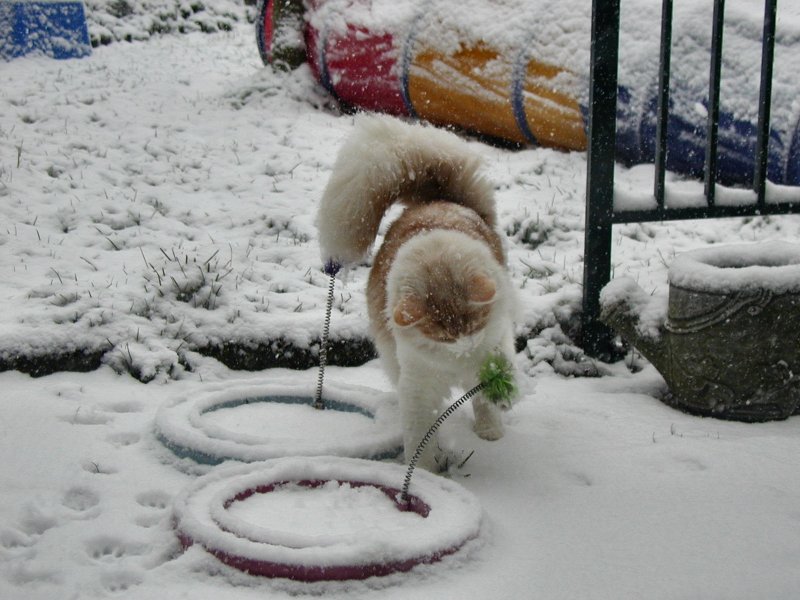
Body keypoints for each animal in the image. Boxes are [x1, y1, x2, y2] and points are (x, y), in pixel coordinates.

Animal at [317, 115, 517, 472]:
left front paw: (499, 402)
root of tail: (434, 199)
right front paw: (425, 473)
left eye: (474, 325)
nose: (467, 347)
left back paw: (490, 431)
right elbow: (420, 436)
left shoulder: (495, 340)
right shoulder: (419, 386)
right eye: (444, 335)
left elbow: (491, 388)